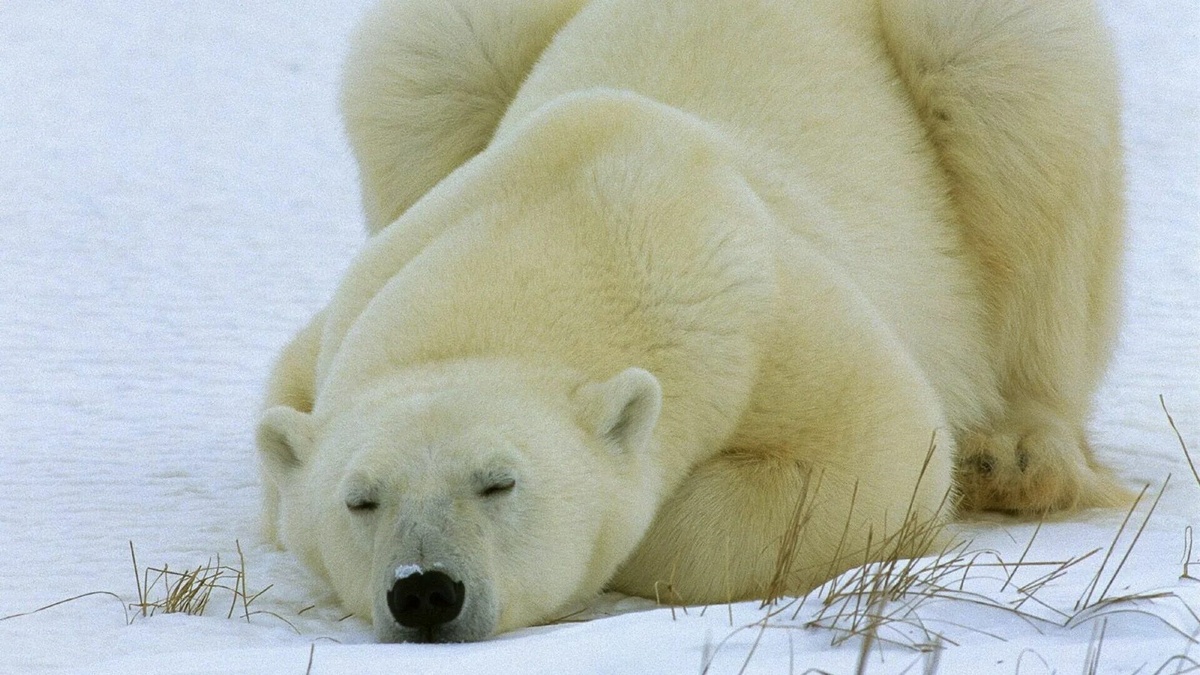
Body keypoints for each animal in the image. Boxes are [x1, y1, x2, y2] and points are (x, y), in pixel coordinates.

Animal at [257, 0, 1128, 643]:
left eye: (499, 481)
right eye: (360, 499)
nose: (426, 590)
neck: (574, 207)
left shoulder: (767, 309)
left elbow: (876, 455)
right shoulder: (361, 295)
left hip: (983, 92)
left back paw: (1014, 456)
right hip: (456, 65)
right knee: (424, 72)